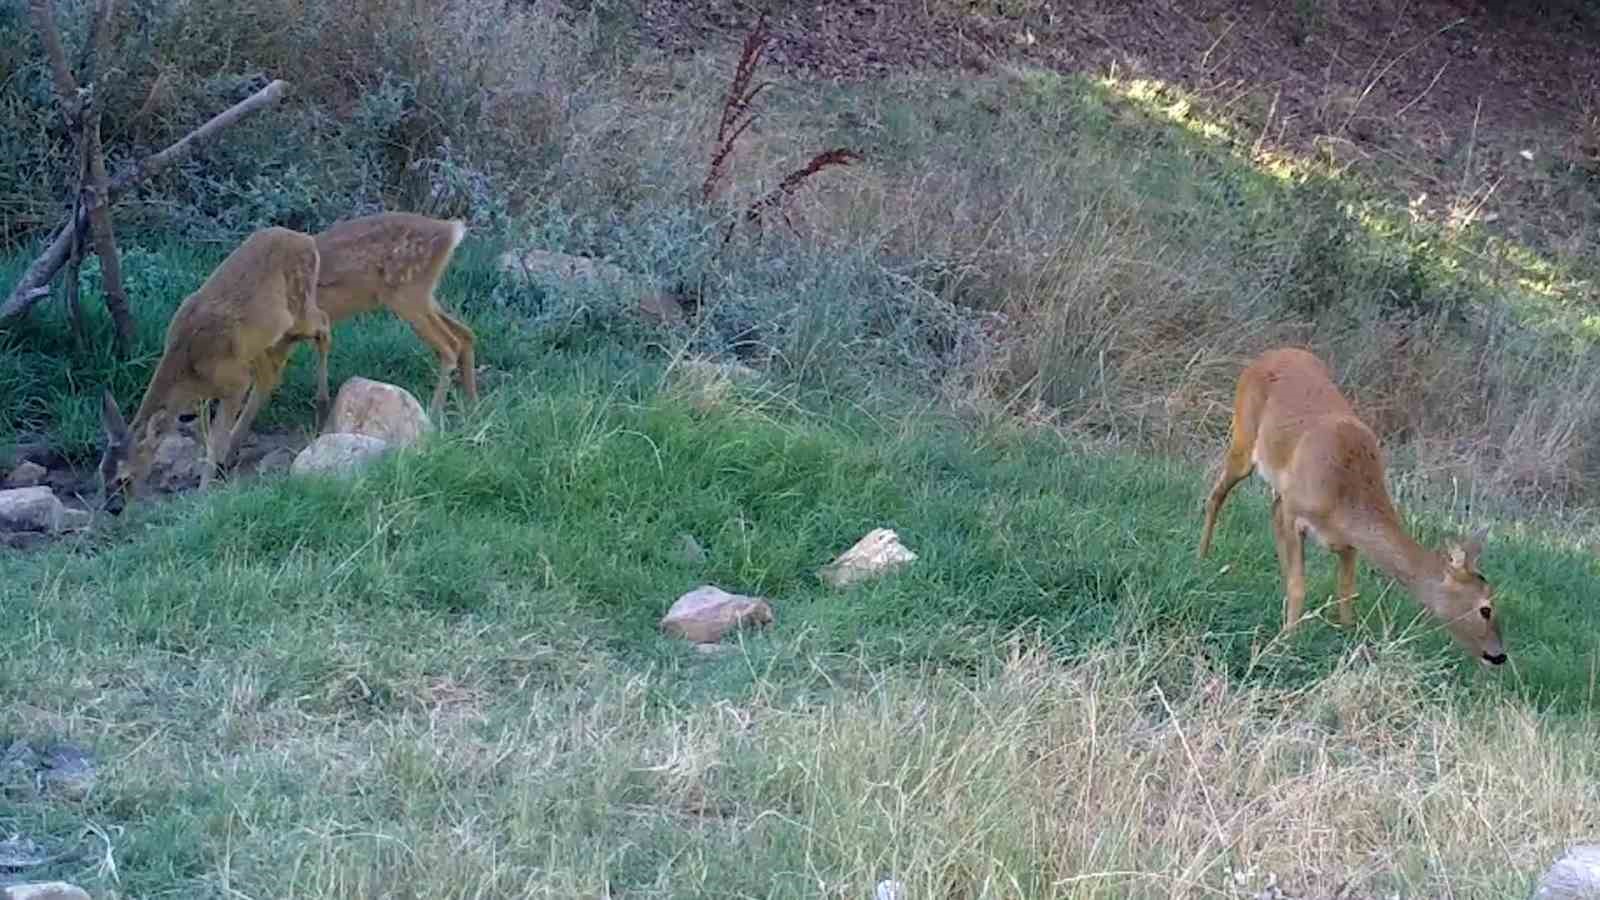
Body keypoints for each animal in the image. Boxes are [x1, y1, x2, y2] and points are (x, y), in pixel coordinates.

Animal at [98, 224, 329, 512]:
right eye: (101, 473)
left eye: (125, 478)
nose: (113, 509)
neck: (188, 369)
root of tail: (307, 239)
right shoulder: (208, 395)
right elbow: (205, 436)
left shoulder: (234, 382)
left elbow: (213, 441)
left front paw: (204, 492)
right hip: (262, 343)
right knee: (270, 376)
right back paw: (233, 452)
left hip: (298, 310)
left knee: (324, 325)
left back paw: (322, 405)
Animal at [225, 208, 473, 445]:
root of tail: (451, 230)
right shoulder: (283, 344)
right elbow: (261, 391)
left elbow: (257, 392)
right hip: (423, 296)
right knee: (466, 333)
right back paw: (472, 406)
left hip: (408, 294)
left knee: (450, 344)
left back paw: (434, 416)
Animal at [1196, 347, 1504, 662]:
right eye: (1486, 608)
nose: (1499, 655)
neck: (1345, 500)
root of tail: (1268, 354)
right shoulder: (1296, 512)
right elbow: (1299, 586)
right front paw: (1288, 641)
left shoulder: (1348, 543)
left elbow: (1346, 591)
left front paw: (1345, 636)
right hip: (1243, 439)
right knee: (1216, 495)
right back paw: (1201, 558)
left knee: (1269, 511)